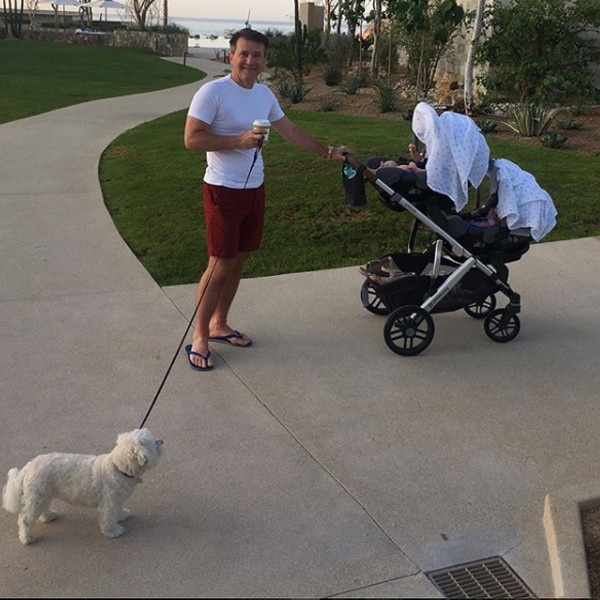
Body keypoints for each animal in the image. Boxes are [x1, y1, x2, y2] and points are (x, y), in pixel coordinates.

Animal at [1, 426, 163, 544]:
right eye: (153, 443)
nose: (161, 441)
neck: (118, 467)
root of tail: (28, 466)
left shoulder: (117, 499)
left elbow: (118, 510)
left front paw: (122, 515)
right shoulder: (109, 502)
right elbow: (108, 518)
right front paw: (113, 531)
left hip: (42, 494)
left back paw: (49, 516)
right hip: (37, 495)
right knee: (25, 518)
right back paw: (27, 538)